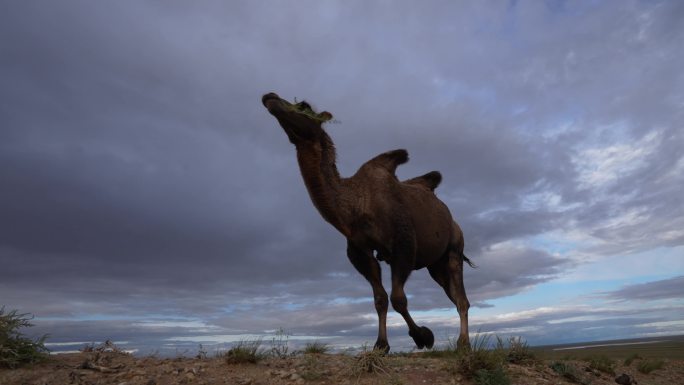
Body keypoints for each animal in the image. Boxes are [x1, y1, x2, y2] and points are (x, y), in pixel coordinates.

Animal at [260, 93, 472, 352]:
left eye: (304, 105)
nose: (269, 97)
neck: (355, 205)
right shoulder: (359, 250)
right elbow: (380, 299)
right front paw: (381, 345)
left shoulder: (403, 244)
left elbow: (398, 298)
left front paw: (423, 336)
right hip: (435, 264)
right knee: (453, 294)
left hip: (454, 249)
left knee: (461, 298)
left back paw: (464, 344)